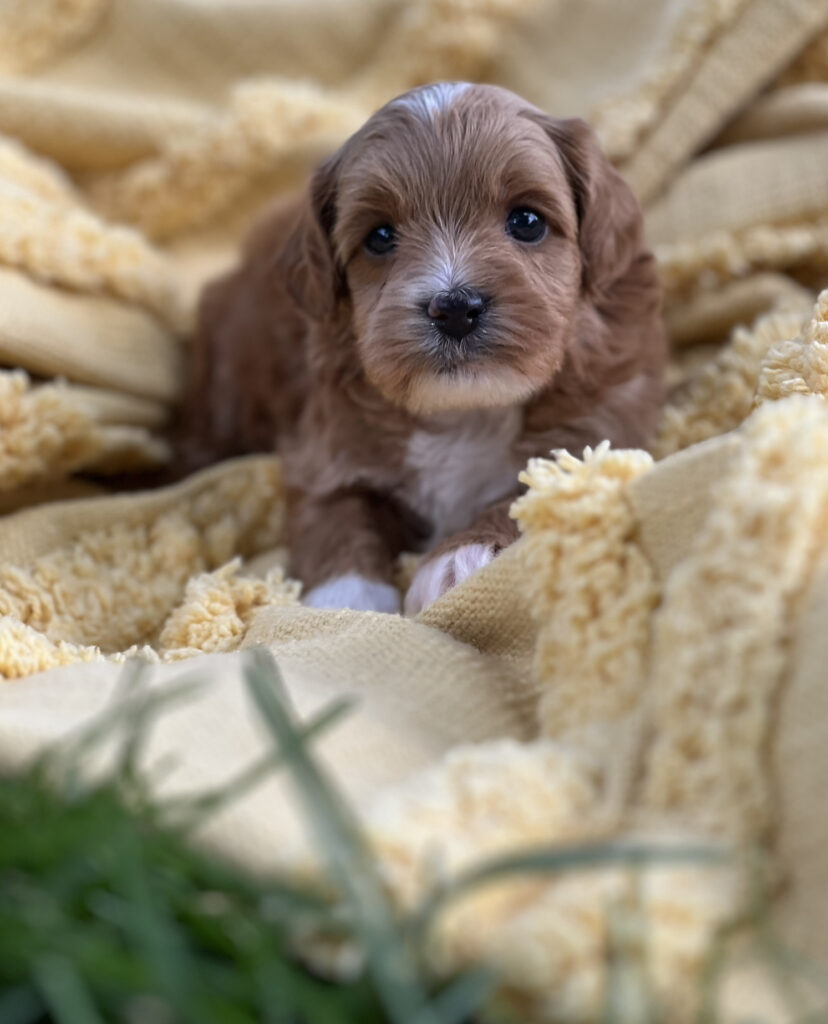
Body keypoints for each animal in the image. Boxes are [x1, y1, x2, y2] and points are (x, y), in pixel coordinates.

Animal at [182, 83, 667, 610]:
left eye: (527, 221)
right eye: (379, 236)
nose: (453, 308)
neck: (465, 410)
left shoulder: (601, 431)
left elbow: (529, 490)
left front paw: (458, 560)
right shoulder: (322, 453)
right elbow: (336, 515)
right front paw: (347, 600)